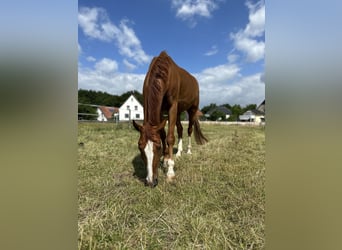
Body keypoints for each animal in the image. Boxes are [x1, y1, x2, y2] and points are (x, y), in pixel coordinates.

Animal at [132, 51, 207, 188]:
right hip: (178, 111)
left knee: (189, 129)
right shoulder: (161, 109)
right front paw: (166, 159)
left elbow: (170, 137)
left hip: (192, 109)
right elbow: (162, 133)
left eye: (157, 147)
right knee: (180, 129)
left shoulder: (173, 106)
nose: (151, 181)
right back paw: (179, 152)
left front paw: (170, 171)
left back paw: (188, 151)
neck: (163, 75)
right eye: (140, 147)